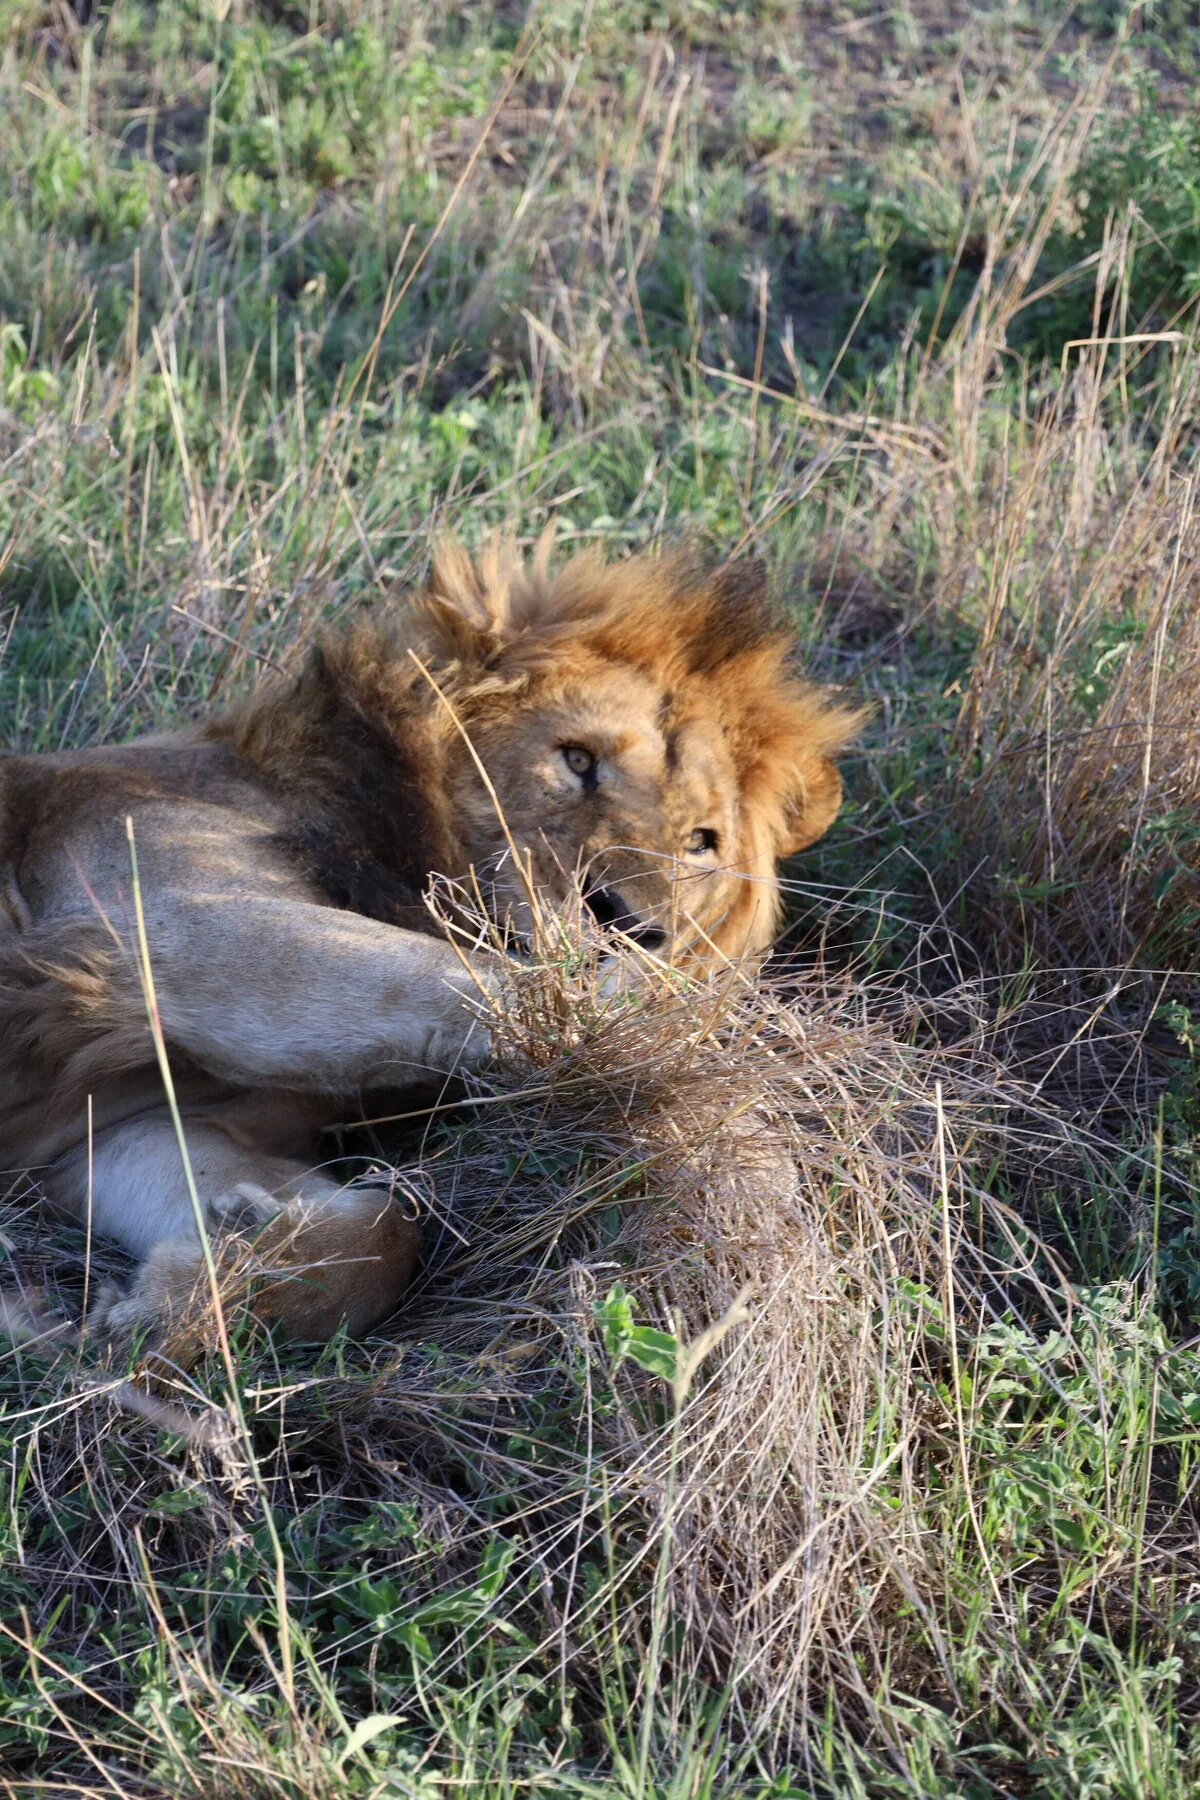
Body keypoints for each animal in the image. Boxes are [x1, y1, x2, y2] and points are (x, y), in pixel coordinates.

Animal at [0, 540, 861, 1350]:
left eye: (701, 842)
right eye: (578, 761)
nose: (633, 924)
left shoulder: (112, 1129)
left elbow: (387, 1237)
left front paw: (191, 1295)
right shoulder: (175, 917)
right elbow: (507, 992)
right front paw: (743, 1130)